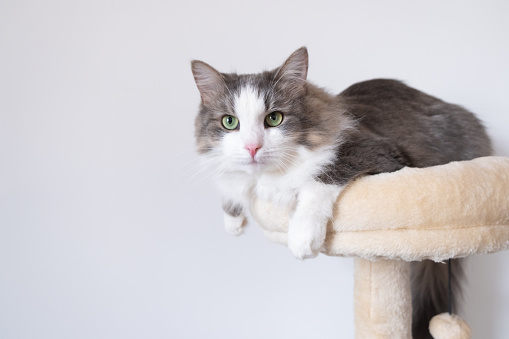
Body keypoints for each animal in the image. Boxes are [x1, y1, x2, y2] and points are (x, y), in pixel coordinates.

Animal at [189, 47, 490, 339]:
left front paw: (302, 237)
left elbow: (318, 180)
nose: (252, 147)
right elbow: (234, 186)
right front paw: (233, 220)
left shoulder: (378, 154)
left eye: (274, 118)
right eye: (230, 122)